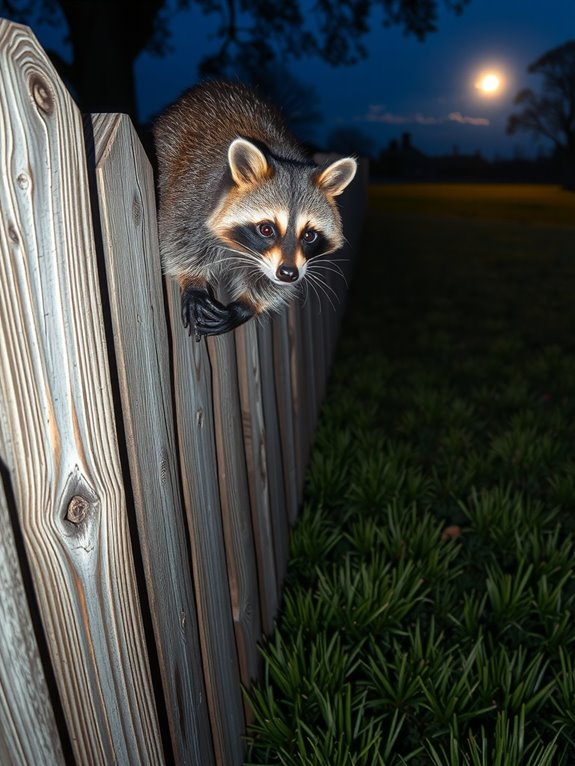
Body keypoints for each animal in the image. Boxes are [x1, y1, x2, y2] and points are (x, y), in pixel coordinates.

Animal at [153, 80, 357, 338]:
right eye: (266, 229)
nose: (288, 273)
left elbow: (274, 285)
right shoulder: (192, 195)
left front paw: (248, 304)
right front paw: (193, 280)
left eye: (309, 235)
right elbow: (176, 237)